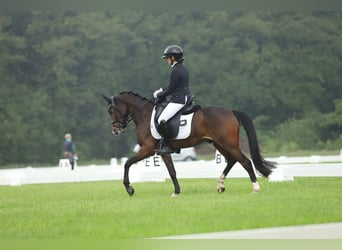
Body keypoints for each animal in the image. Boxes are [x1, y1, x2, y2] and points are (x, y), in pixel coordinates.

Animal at [101, 91, 276, 196]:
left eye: (111, 111)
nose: (116, 130)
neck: (144, 115)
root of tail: (231, 111)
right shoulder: (163, 151)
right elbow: (172, 171)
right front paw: (176, 192)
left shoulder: (147, 149)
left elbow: (127, 163)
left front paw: (129, 188)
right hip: (219, 144)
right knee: (233, 161)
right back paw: (220, 185)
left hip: (228, 144)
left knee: (245, 161)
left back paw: (255, 188)